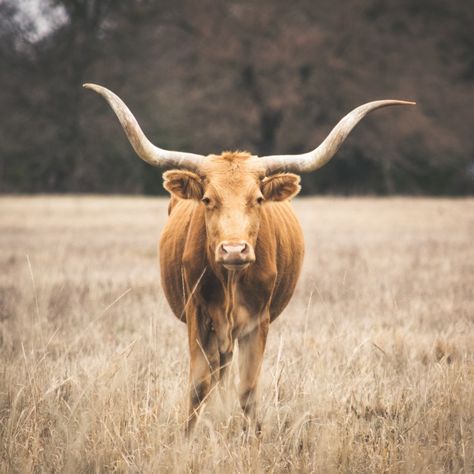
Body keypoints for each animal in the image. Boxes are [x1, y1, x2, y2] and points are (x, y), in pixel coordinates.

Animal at [82, 82, 414, 434]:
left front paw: (252, 435)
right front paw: (187, 436)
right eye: (207, 199)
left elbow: (248, 389)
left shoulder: (259, 320)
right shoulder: (198, 315)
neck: (231, 281)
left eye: (257, 199)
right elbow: (198, 385)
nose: (233, 250)